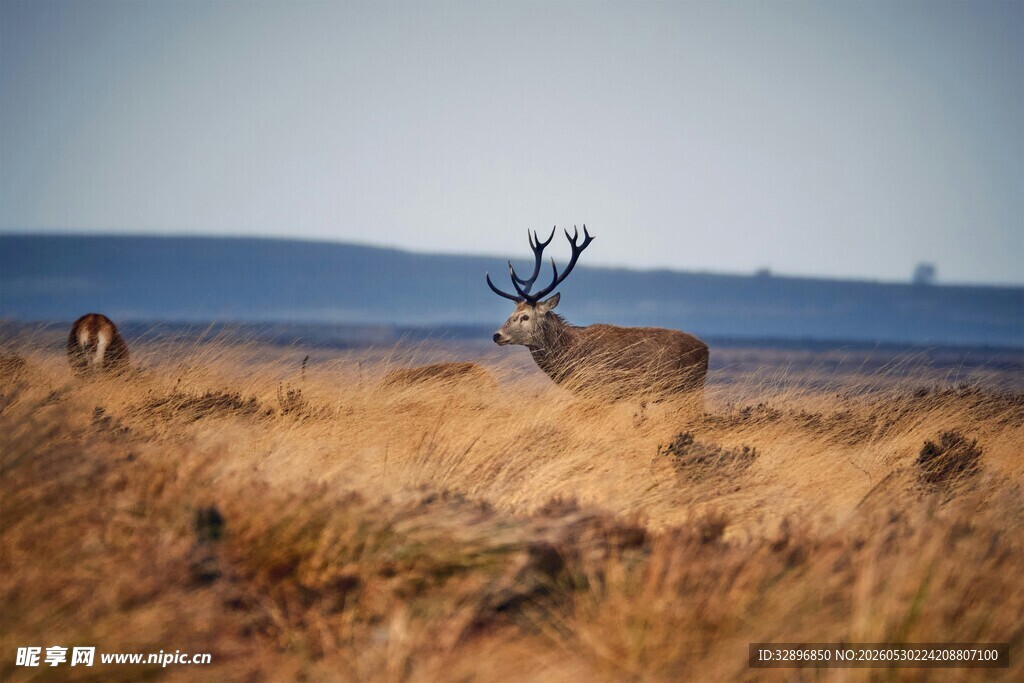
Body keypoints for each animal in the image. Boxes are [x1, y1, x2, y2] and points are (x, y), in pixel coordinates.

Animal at [487, 227, 708, 400]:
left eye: (525, 316)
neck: (572, 353)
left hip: (689, 388)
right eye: (512, 312)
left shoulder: (601, 389)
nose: (497, 335)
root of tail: (705, 349)